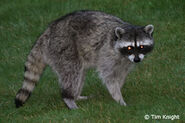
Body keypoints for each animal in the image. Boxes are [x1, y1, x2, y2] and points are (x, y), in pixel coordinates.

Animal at [14, 10, 154, 109]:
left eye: (141, 47)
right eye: (130, 47)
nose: (137, 59)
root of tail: (48, 31)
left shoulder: (125, 62)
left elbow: (121, 74)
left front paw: (118, 87)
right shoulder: (106, 53)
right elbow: (108, 76)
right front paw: (118, 97)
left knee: (80, 74)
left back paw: (76, 96)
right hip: (63, 46)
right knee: (72, 72)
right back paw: (68, 97)